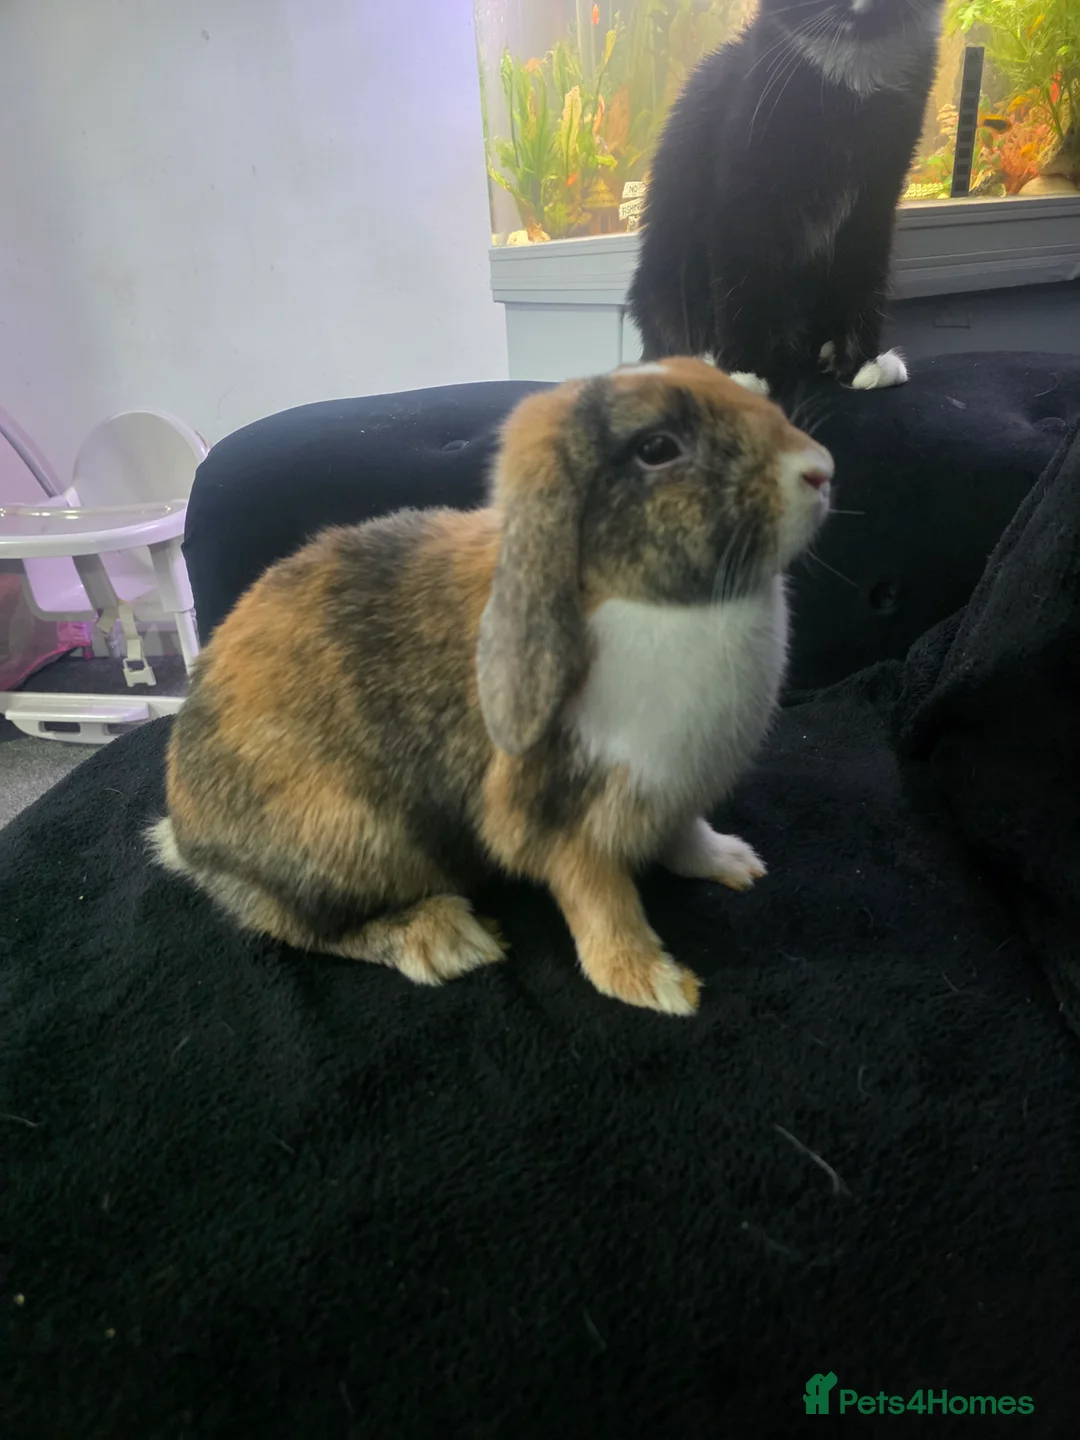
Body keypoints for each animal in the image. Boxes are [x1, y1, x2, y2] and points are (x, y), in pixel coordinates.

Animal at [149, 358, 832, 1016]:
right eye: (657, 448)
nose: (820, 470)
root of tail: (190, 843)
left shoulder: (675, 792)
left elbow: (687, 836)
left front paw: (736, 865)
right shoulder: (558, 815)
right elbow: (601, 900)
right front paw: (651, 983)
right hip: (350, 842)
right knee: (307, 928)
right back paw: (446, 938)